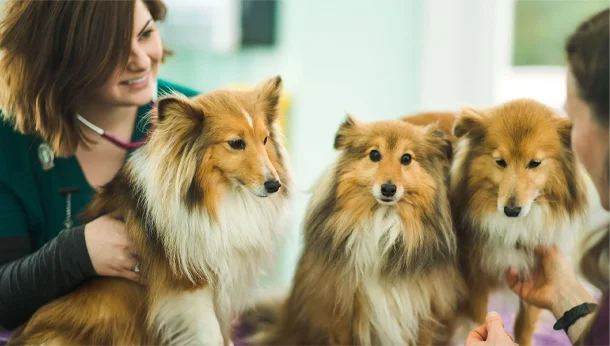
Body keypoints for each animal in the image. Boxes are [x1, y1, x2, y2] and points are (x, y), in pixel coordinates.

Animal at [8, 76, 290, 346]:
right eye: (236, 143)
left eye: (265, 139)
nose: (274, 185)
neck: (220, 197)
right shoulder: (190, 285)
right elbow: (211, 335)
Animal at [245, 116, 464, 346]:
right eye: (374, 154)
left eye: (406, 158)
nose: (388, 189)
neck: (383, 220)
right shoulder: (341, 308)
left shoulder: (425, 311)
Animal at [448, 98, 588, 344]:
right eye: (500, 161)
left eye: (535, 163)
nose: (511, 210)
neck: (513, 227)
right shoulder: (473, 278)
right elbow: (478, 318)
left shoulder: (534, 273)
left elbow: (524, 326)